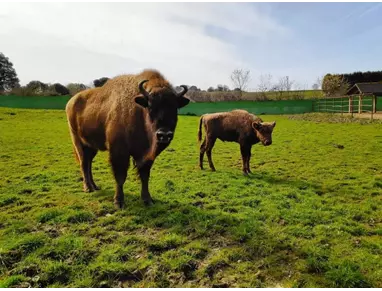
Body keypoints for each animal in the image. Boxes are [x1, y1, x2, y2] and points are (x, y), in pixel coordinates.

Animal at [67, 69, 191, 209]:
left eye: (175, 107)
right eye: (150, 106)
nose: (164, 134)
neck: (139, 111)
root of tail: (71, 101)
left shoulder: (146, 156)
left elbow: (145, 176)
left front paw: (147, 200)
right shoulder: (119, 152)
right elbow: (120, 177)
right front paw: (119, 202)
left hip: (92, 146)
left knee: (88, 163)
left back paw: (95, 186)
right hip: (78, 142)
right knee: (83, 163)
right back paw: (88, 188)